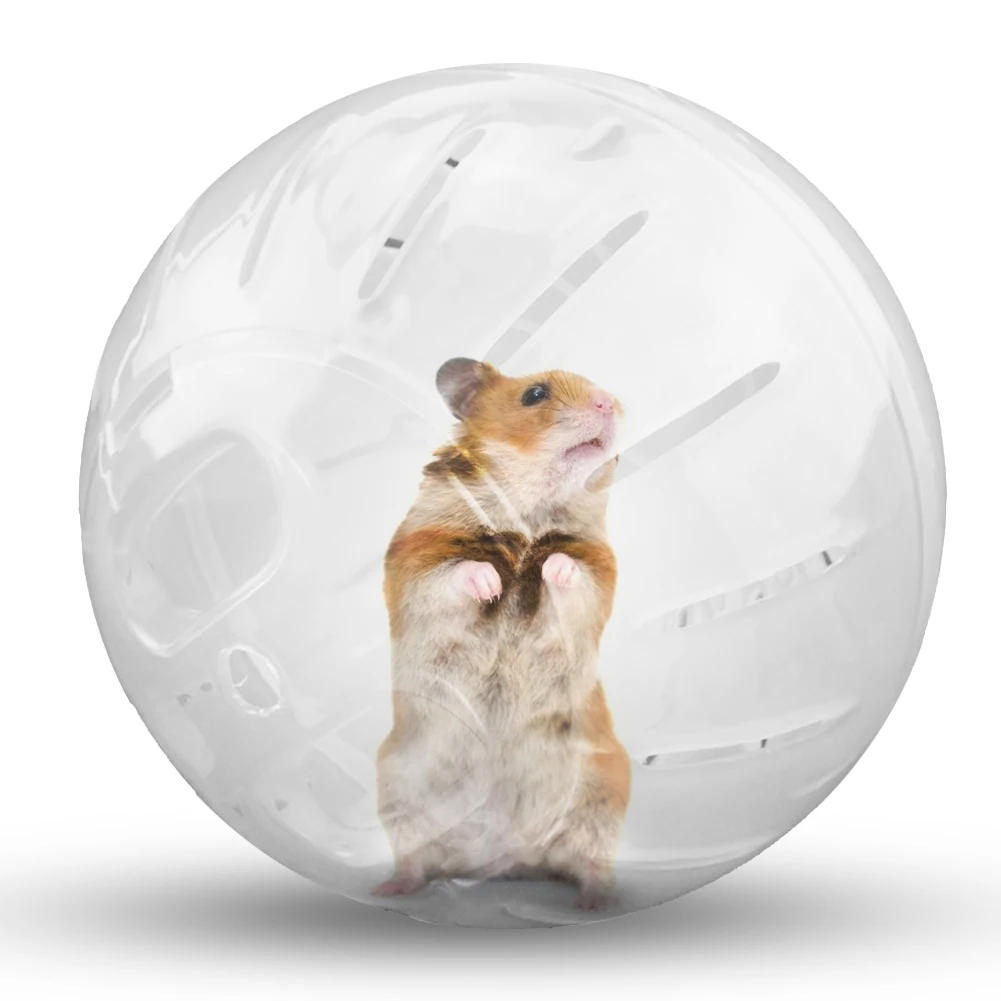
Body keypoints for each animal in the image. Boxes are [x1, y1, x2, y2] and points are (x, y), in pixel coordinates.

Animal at [375, 357, 630, 909]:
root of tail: (504, 856)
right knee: (416, 858)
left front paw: (550, 569)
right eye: (535, 394)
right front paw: (492, 583)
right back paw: (388, 888)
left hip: (601, 793)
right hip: (398, 790)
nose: (610, 402)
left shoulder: (597, 571)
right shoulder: (418, 561)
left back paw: (597, 901)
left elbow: (570, 573)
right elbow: (457, 574)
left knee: (589, 860)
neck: (530, 509)